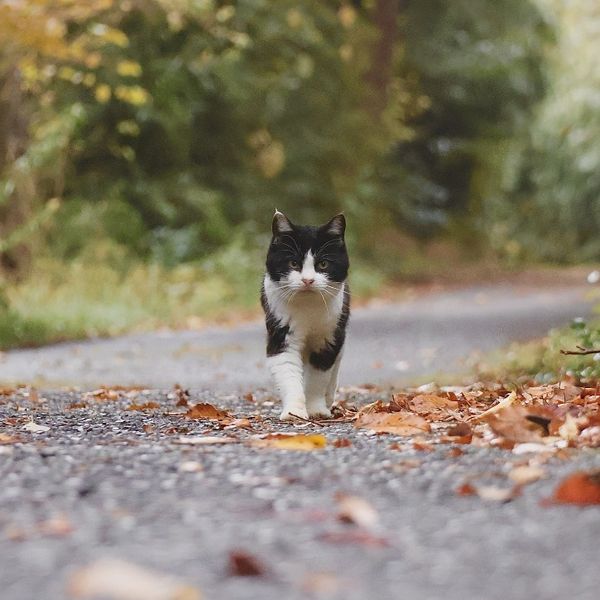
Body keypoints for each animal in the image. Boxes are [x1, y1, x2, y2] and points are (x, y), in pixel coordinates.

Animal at [260, 211, 350, 422]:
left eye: (323, 264)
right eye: (293, 263)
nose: (308, 280)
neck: (308, 310)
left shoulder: (329, 338)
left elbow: (319, 378)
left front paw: (316, 409)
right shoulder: (280, 332)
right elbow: (288, 373)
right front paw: (294, 412)